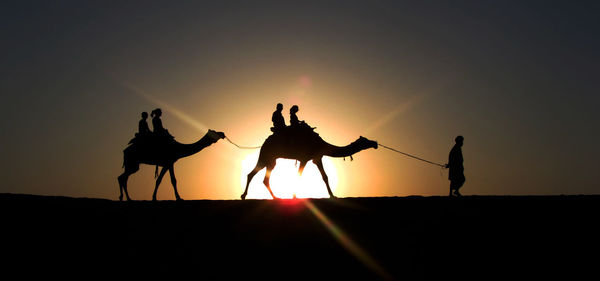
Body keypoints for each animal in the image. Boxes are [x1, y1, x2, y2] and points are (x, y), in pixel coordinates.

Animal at [241, 129, 378, 199]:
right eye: (365, 141)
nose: (375, 143)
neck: (321, 145)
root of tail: (264, 143)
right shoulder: (304, 158)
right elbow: (299, 176)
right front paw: (294, 197)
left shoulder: (317, 158)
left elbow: (325, 176)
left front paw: (333, 195)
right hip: (266, 155)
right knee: (253, 174)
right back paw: (245, 195)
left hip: (271, 160)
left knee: (260, 177)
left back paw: (274, 197)